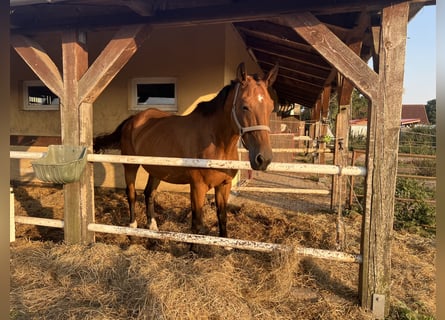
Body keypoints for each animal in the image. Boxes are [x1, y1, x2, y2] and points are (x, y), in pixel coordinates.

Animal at [93, 62, 278, 238]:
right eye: (244, 106)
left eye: (270, 107)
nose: (263, 159)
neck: (217, 144)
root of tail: (133, 119)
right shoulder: (198, 187)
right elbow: (197, 224)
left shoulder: (224, 185)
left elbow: (222, 216)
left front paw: (226, 243)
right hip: (130, 166)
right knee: (132, 194)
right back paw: (132, 227)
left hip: (157, 169)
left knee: (149, 193)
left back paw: (152, 226)